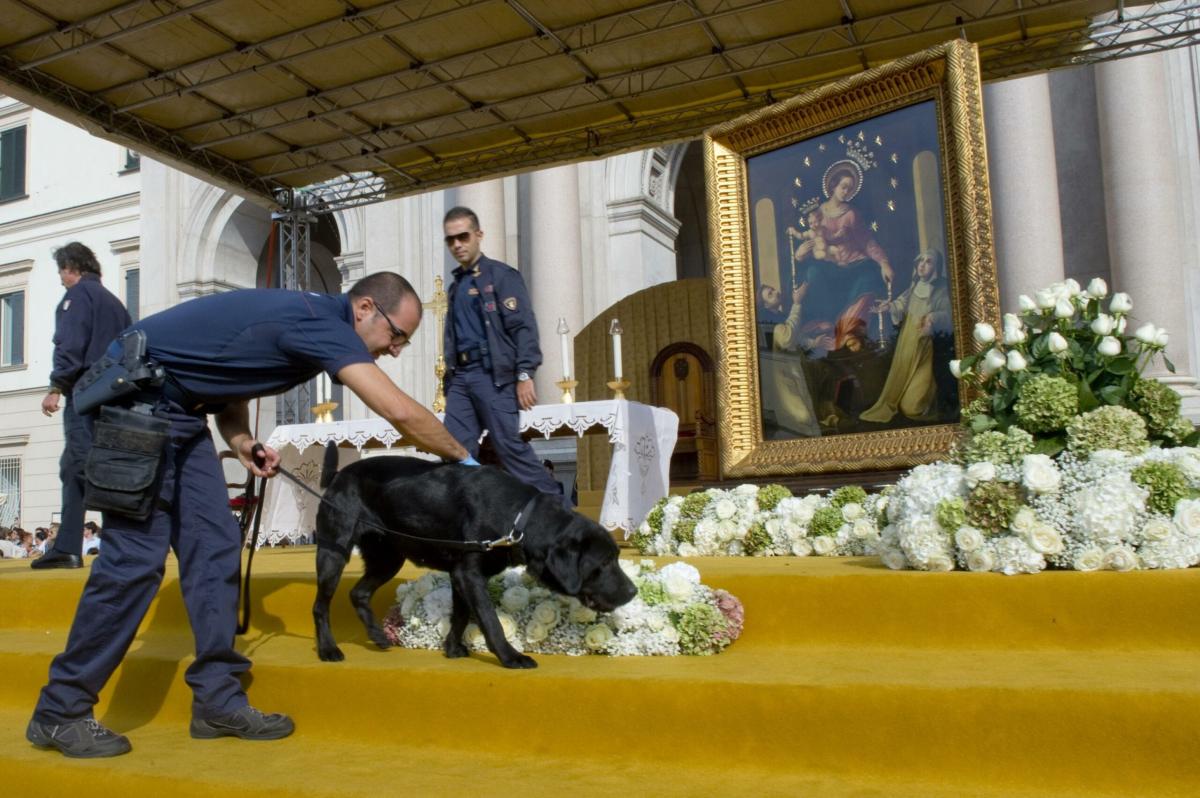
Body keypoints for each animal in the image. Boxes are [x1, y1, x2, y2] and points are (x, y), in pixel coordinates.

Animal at [314, 448, 643, 667]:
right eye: (603, 563)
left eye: (616, 557)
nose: (633, 591)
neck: (519, 520)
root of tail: (339, 475)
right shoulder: (469, 573)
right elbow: (488, 618)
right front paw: (510, 657)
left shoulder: (459, 573)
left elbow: (461, 614)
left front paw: (452, 647)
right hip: (333, 553)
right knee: (321, 606)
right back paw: (328, 650)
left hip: (387, 558)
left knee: (358, 592)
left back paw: (378, 636)